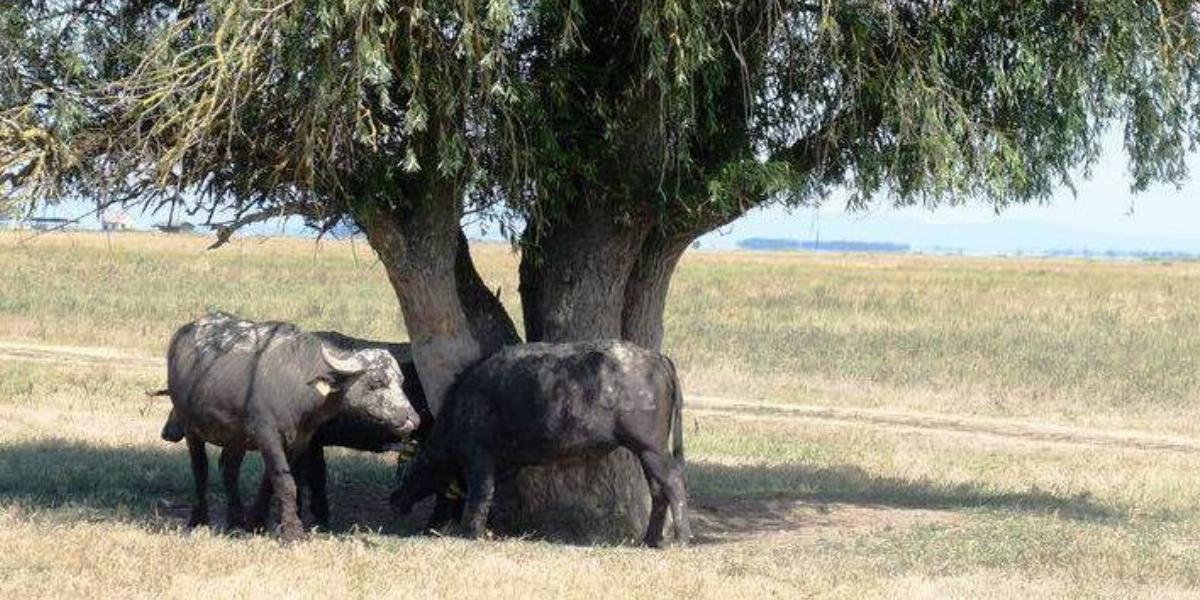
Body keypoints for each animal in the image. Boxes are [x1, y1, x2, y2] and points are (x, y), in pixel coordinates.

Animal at [162, 312, 420, 542]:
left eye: (401, 381)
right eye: (377, 381)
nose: (413, 419)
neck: (298, 387)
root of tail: (183, 334)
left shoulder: (300, 441)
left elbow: (272, 482)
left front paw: (256, 522)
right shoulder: (267, 436)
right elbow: (285, 482)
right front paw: (293, 532)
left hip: (236, 438)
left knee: (229, 471)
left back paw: (235, 522)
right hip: (191, 428)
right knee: (200, 470)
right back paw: (198, 520)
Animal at [388, 340, 691, 547]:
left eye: (407, 469)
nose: (394, 499)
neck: (462, 405)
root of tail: (657, 357)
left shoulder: (479, 459)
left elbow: (481, 494)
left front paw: (471, 532)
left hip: (651, 448)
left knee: (674, 481)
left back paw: (682, 538)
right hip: (647, 452)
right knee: (658, 490)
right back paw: (650, 540)